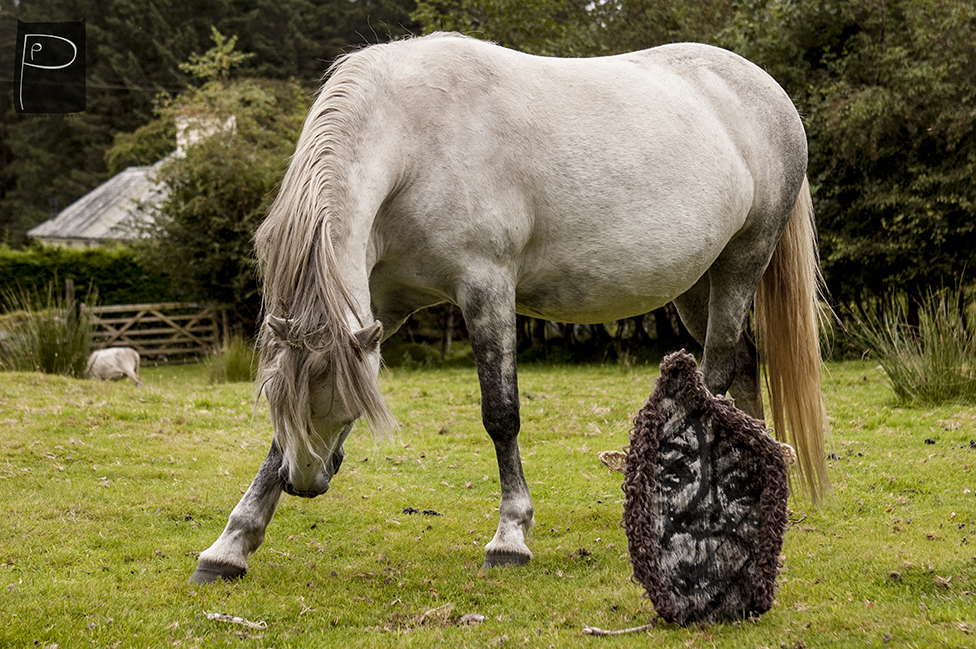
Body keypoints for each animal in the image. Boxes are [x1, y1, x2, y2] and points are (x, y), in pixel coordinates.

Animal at [189, 33, 828, 584]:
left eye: (349, 406)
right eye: (277, 399)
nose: (306, 482)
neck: (416, 137)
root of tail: (766, 90)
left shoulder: (487, 288)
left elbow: (501, 414)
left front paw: (510, 537)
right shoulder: (382, 307)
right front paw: (230, 546)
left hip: (742, 262)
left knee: (716, 374)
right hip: (699, 283)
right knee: (742, 364)